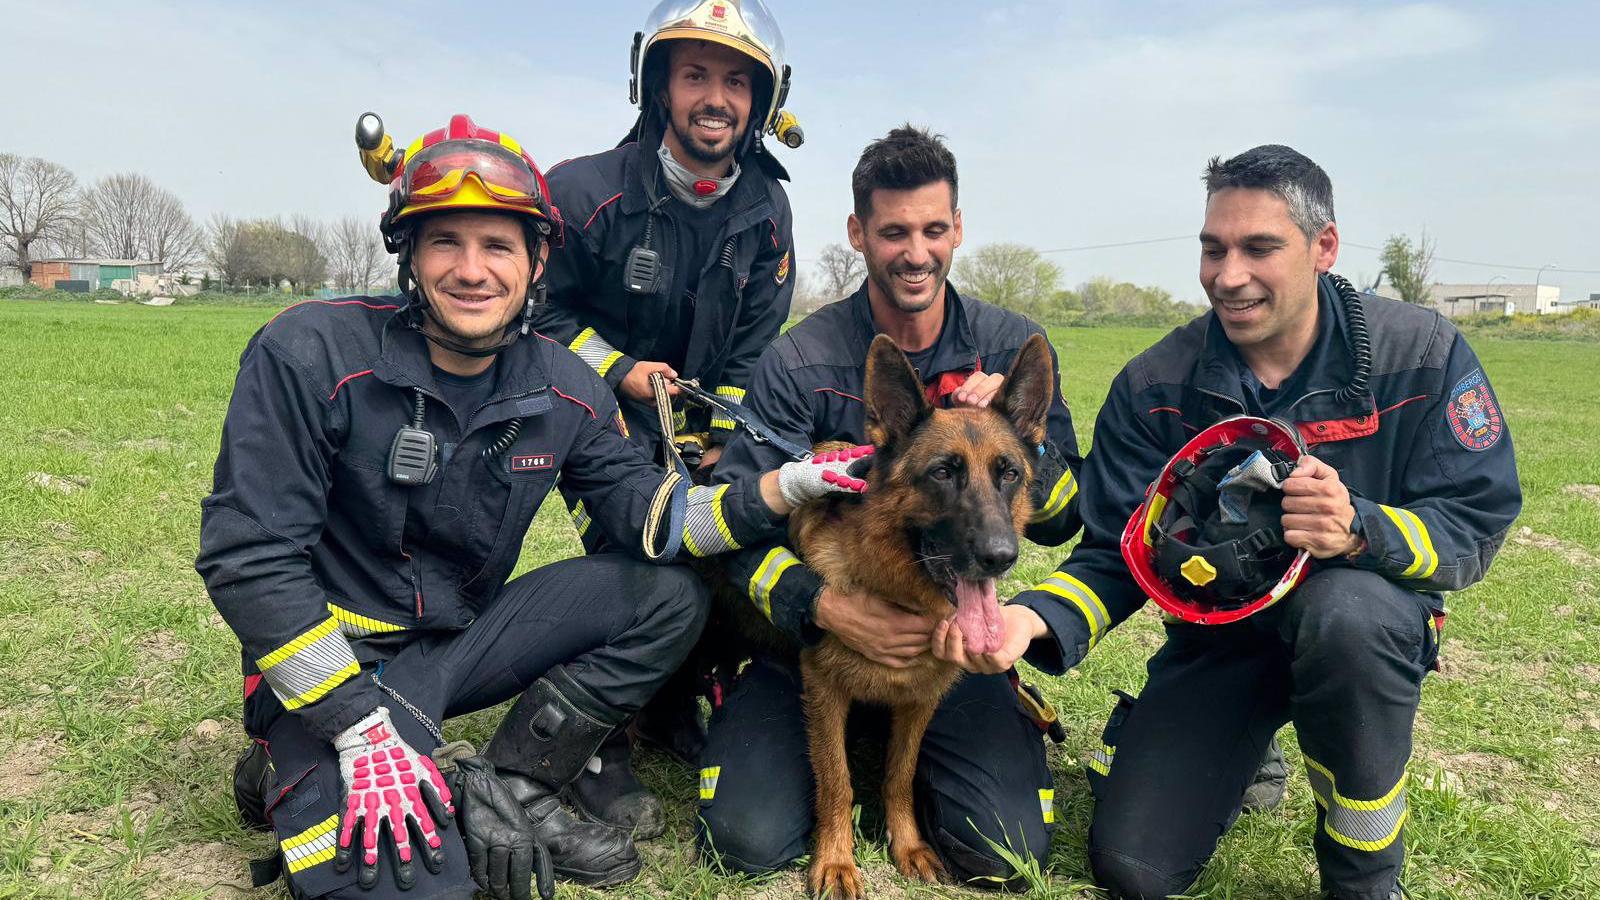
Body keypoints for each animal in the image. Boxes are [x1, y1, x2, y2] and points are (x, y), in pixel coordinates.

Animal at [713, 331, 1049, 896]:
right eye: (943, 473)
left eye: (1009, 474)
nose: (1001, 556)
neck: (894, 590)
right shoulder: (825, 695)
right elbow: (837, 781)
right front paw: (835, 861)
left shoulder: (919, 699)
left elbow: (900, 775)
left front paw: (907, 846)